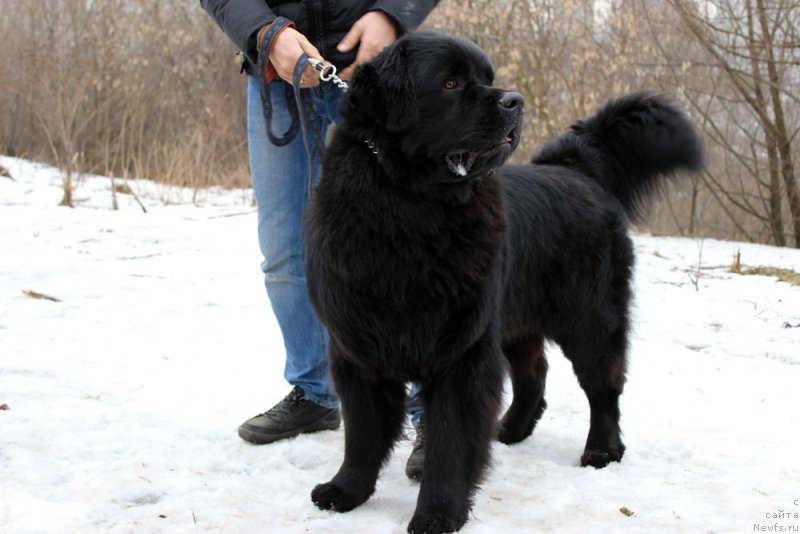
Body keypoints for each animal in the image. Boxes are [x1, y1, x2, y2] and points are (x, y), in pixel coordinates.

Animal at [304, 32, 700, 534]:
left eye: (487, 78)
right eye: (451, 83)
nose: (516, 100)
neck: (410, 208)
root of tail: (575, 169)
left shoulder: (462, 353)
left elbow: (449, 442)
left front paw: (437, 513)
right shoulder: (358, 348)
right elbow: (362, 433)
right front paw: (345, 491)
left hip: (589, 317)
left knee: (603, 385)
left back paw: (601, 449)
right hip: (513, 318)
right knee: (535, 373)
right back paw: (510, 430)